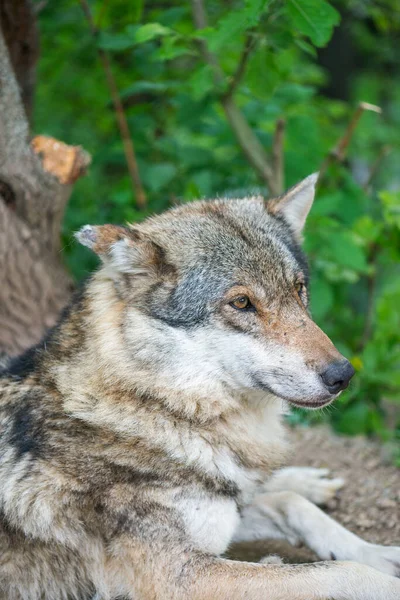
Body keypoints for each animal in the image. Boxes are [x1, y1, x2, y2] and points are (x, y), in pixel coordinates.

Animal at [0, 171, 400, 596]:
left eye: (299, 289)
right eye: (241, 303)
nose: (343, 374)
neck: (158, 407)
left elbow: (294, 505)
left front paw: (377, 552)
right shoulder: (178, 576)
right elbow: (340, 572)